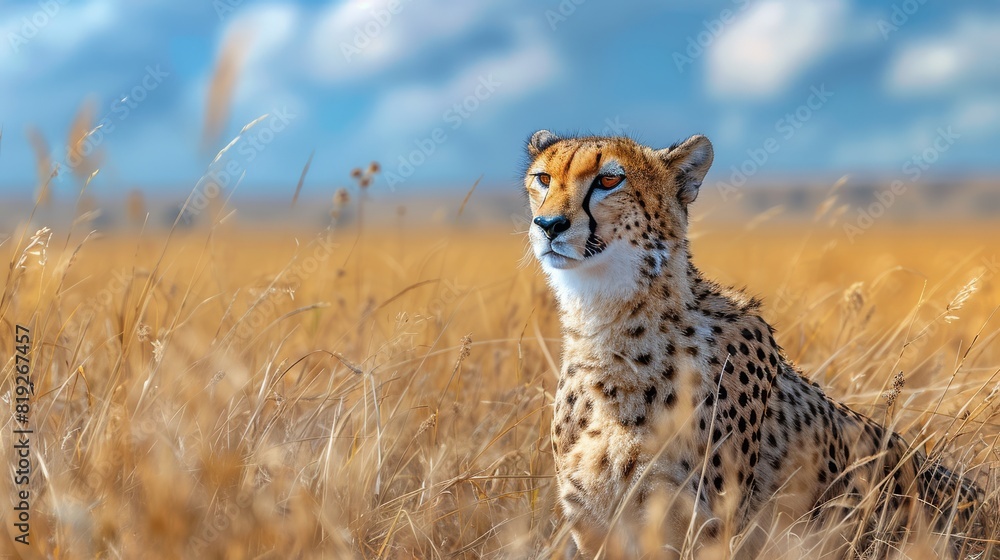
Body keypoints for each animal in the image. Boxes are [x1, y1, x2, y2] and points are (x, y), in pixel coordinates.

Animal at [521, 130, 984, 558]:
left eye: (609, 180)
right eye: (543, 179)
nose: (549, 225)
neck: (610, 324)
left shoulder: (701, 529)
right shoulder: (596, 527)